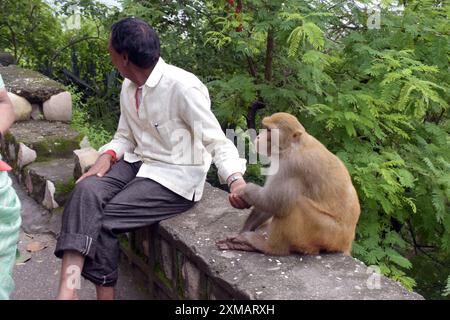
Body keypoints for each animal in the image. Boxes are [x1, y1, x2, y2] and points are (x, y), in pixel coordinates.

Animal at [216, 112, 360, 255]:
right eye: (265, 127)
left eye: (269, 130)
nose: (258, 136)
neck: (293, 146)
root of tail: (346, 242)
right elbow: (269, 205)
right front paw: (243, 231)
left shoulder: (292, 166)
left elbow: (274, 202)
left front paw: (242, 191)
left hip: (327, 233)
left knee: (295, 203)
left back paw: (269, 247)